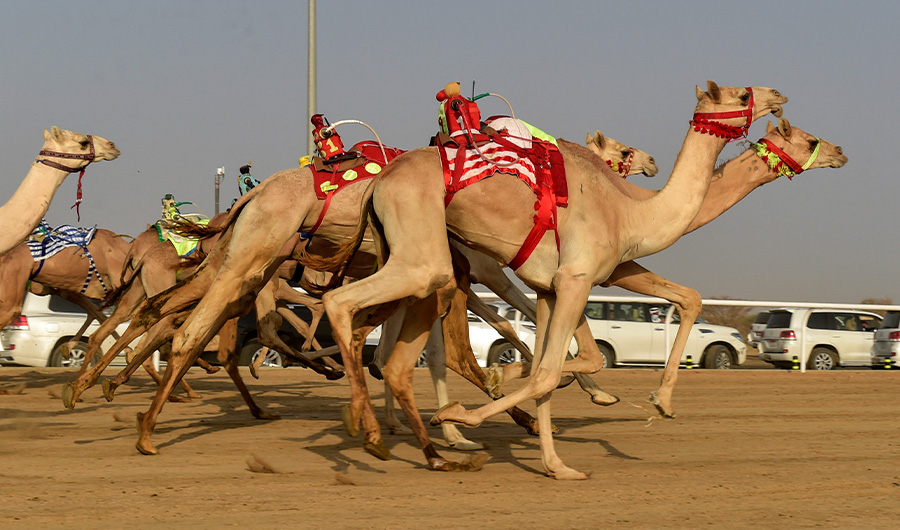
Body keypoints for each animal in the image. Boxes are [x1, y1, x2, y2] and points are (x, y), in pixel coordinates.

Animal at [316, 81, 789, 479]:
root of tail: (380, 181)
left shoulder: (551, 284)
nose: (777, 95)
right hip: (426, 263)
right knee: (347, 306)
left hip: (422, 268)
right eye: (740, 93)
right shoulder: (573, 279)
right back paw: (383, 431)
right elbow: (555, 364)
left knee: (390, 351)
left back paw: (414, 437)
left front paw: (557, 459)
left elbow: (553, 361)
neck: (630, 212)